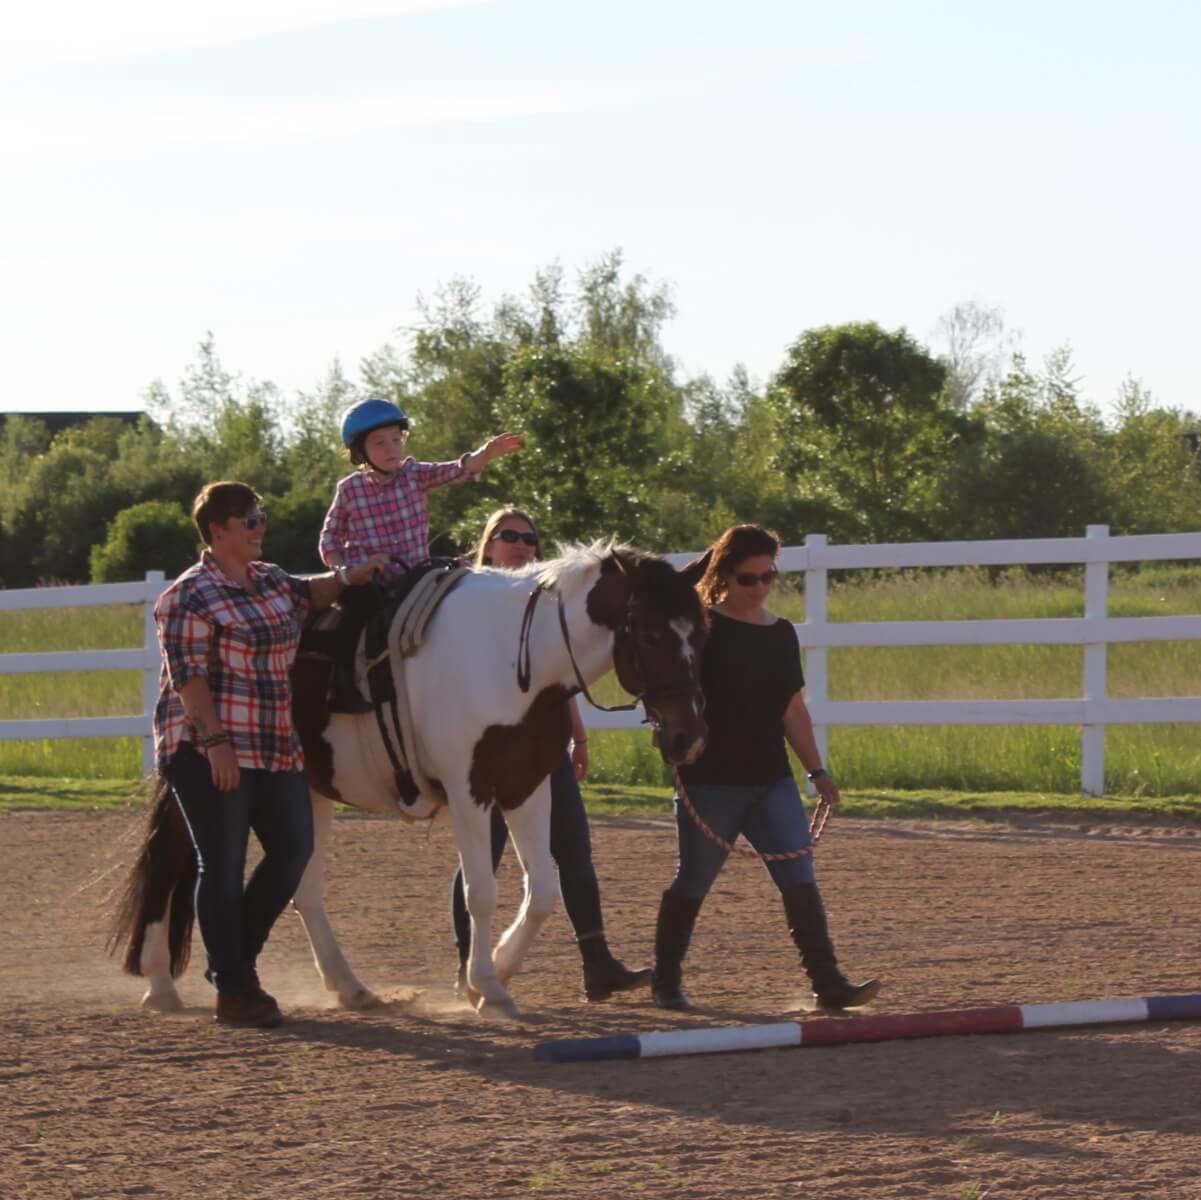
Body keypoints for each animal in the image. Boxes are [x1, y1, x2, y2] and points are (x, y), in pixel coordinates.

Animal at [112, 545, 706, 1013]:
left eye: (701, 632)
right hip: (214, 784)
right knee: (174, 862)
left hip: (307, 790)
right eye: (651, 634)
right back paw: (161, 981)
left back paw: (349, 986)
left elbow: (542, 890)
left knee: (303, 885)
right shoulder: (471, 794)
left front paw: (495, 968)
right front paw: (488, 987)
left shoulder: (528, 789)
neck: (517, 659)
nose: (688, 738)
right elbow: (480, 891)